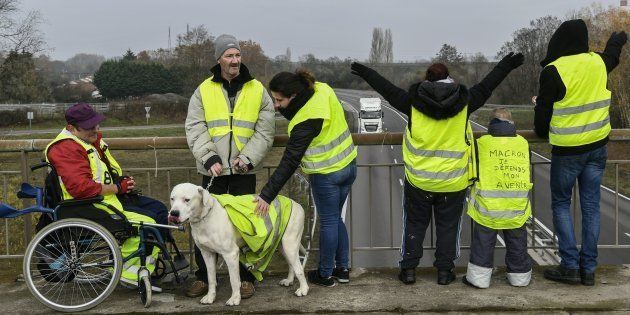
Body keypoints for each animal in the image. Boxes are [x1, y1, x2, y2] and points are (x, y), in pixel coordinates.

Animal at [169, 184, 310, 308]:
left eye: (187, 199)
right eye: (172, 199)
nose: (173, 213)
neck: (205, 217)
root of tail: (296, 203)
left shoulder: (231, 254)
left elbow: (234, 280)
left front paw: (235, 299)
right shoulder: (207, 254)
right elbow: (211, 278)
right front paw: (210, 297)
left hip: (290, 244)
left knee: (299, 268)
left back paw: (303, 289)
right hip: (282, 245)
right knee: (292, 264)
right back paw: (289, 280)